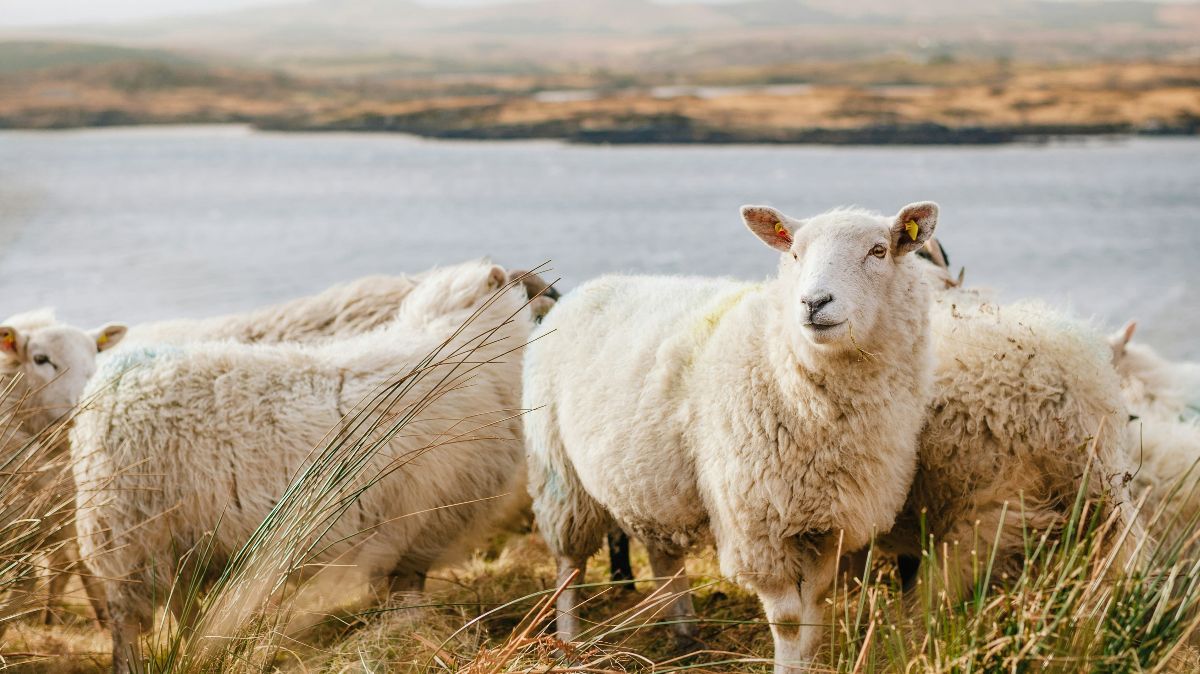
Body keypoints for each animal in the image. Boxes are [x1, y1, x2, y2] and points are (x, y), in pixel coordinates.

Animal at [73, 260, 540, 666]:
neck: (461, 344)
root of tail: (106, 386)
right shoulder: (419, 526)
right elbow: (406, 594)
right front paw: (410, 634)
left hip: (178, 543)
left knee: (183, 610)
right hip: (128, 537)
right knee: (126, 626)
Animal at [525, 201, 936, 666]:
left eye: (879, 250)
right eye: (795, 253)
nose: (813, 302)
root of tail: (582, 291)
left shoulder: (828, 525)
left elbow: (813, 613)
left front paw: (807, 661)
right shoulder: (757, 526)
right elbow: (788, 622)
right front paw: (787, 667)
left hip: (649, 480)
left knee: (663, 555)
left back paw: (686, 635)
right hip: (559, 474)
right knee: (569, 564)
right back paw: (568, 641)